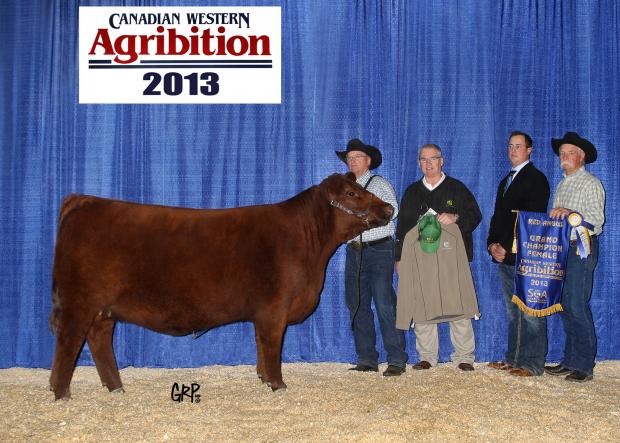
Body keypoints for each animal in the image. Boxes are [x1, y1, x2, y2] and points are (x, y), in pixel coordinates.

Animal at [50, 172, 394, 400]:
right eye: (351, 194)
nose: (389, 209)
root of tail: (83, 200)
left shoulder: (262, 312)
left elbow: (261, 344)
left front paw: (263, 378)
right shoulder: (274, 309)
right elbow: (272, 346)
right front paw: (278, 385)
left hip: (104, 308)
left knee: (99, 339)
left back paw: (116, 387)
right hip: (80, 301)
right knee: (69, 340)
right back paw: (61, 391)